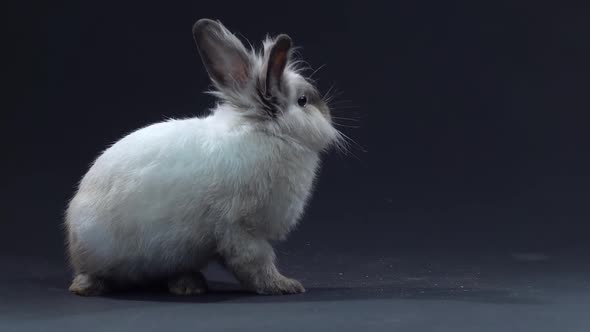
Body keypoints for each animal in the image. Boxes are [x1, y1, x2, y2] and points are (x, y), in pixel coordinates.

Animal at [63, 18, 344, 296]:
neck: (267, 132)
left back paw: (190, 285)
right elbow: (256, 262)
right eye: (304, 100)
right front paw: (284, 285)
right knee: (91, 273)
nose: (329, 114)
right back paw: (87, 286)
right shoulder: (241, 229)